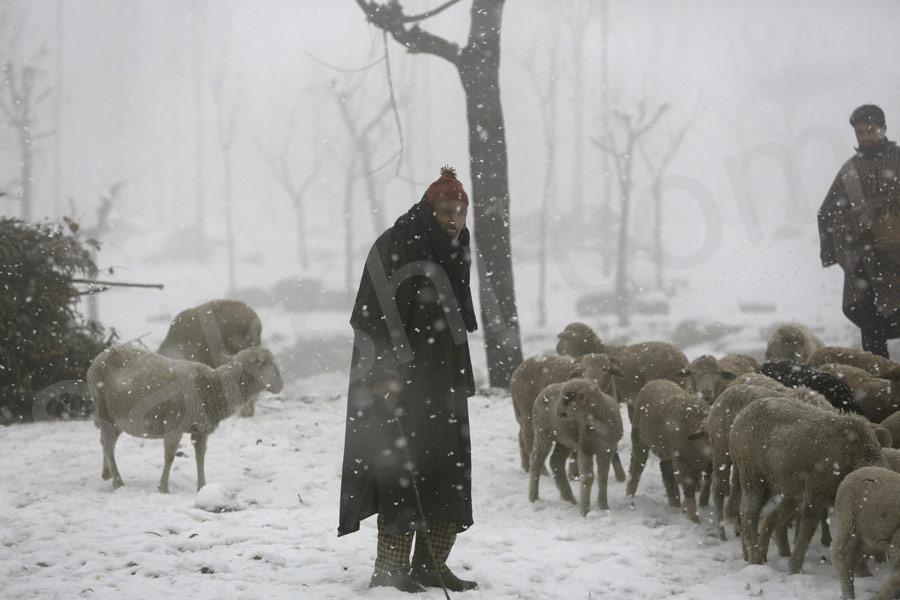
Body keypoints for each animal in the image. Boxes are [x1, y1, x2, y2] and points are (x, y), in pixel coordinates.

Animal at [89, 342, 282, 492]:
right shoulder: (174, 425)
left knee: (105, 442)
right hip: (104, 410)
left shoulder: (200, 430)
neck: (212, 387)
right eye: (267, 363)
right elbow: (169, 457)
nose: (280, 385)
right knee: (108, 445)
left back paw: (106, 474)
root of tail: (100, 355)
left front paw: (202, 487)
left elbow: (200, 458)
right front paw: (163, 488)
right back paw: (118, 482)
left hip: (115, 417)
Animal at [532, 380, 624, 516]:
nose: (557, 412)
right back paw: (533, 497)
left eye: (567, 398)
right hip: (542, 431)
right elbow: (588, 478)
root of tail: (546, 389)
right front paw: (585, 511)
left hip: (565, 440)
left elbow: (603, 478)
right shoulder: (585, 448)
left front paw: (604, 507)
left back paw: (569, 498)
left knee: (556, 462)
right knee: (536, 461)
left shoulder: (607, 450)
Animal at [624, 382, 712, 524]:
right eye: (710, 436)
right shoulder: (681, 460)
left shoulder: (701, 464)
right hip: (639, 440)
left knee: (666, 470)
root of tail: (654, 381)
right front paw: (693, 517)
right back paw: (629, 495)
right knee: (636, 466)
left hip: (666, 450)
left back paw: (674, 504)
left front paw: (685, 510)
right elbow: (689, 486)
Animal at [732, 398, 884, 572]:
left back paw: (748, 554)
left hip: (767, 483)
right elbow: (808, 528)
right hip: (752, 475)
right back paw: (756, 559)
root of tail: (741, 415)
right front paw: (795, 567)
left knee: (747, 513)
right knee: (748, 515)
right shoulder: (816, 490)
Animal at [828, 466, 900, 600]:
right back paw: (849, 594)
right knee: (839, 553)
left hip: (866, 536)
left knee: (853, 557)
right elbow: (897, 576)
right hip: (848, 520)